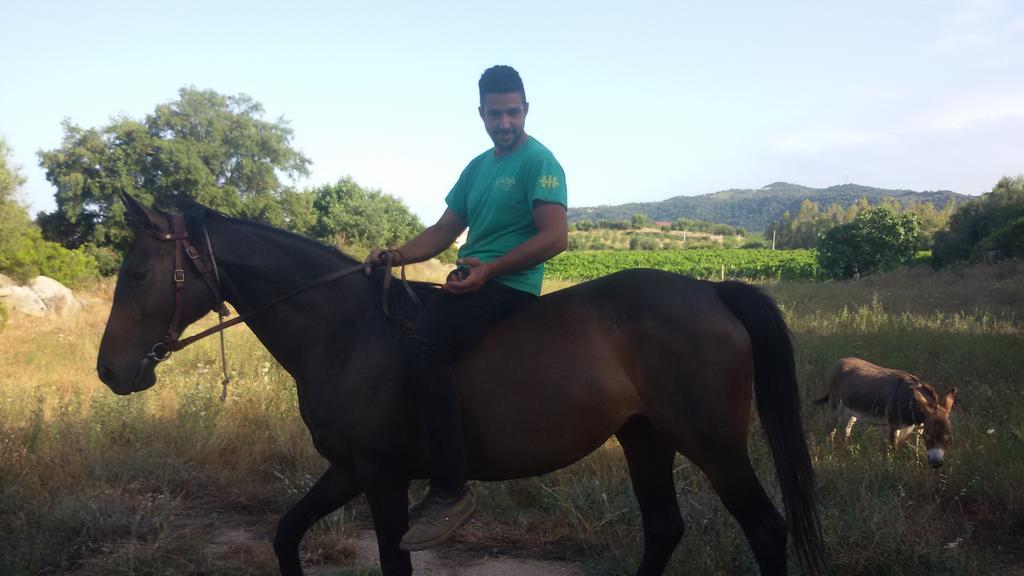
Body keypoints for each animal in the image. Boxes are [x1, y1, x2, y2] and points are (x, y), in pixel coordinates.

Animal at [99, 193, 827, 573]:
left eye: (136, 272)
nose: (110, 370)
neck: (345, 329)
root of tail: (710, 291)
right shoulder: (350, 468)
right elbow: (285, 532)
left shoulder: (382, 477)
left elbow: (393, 562)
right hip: (645, 437)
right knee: (664, 528)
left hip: (713, 445)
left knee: (765, 529)